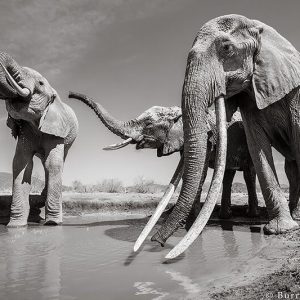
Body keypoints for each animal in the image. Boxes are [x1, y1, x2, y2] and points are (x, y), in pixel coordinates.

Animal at [0, 52, 78, 229]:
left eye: (40, 84)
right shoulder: (25, 130)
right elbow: (21, 163)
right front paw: (15, 226)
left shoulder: (56, 129)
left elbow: (53, 163)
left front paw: (53, 223)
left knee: (56, 162)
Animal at [68, 91, 260, 223]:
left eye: (149, 124)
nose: (69, 94)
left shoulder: (207, 138)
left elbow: (199, 172)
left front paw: (190, 220)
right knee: (228, 175)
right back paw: (225, 217)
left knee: (249, 173)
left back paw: (252, 215)